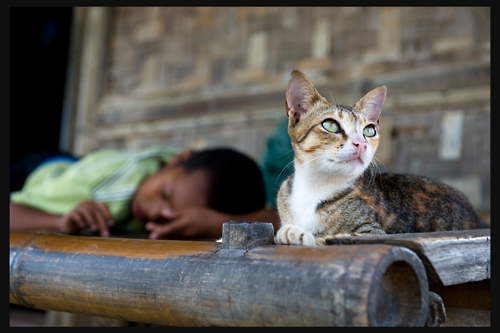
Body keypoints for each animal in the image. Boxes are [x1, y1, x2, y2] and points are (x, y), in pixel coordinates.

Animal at [276, 70, 478, 245]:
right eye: (331, 125)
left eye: (369, 131)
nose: (361, 143)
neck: (315, 186)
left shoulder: (371, 232)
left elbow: (331, 238)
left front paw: (301, 233)